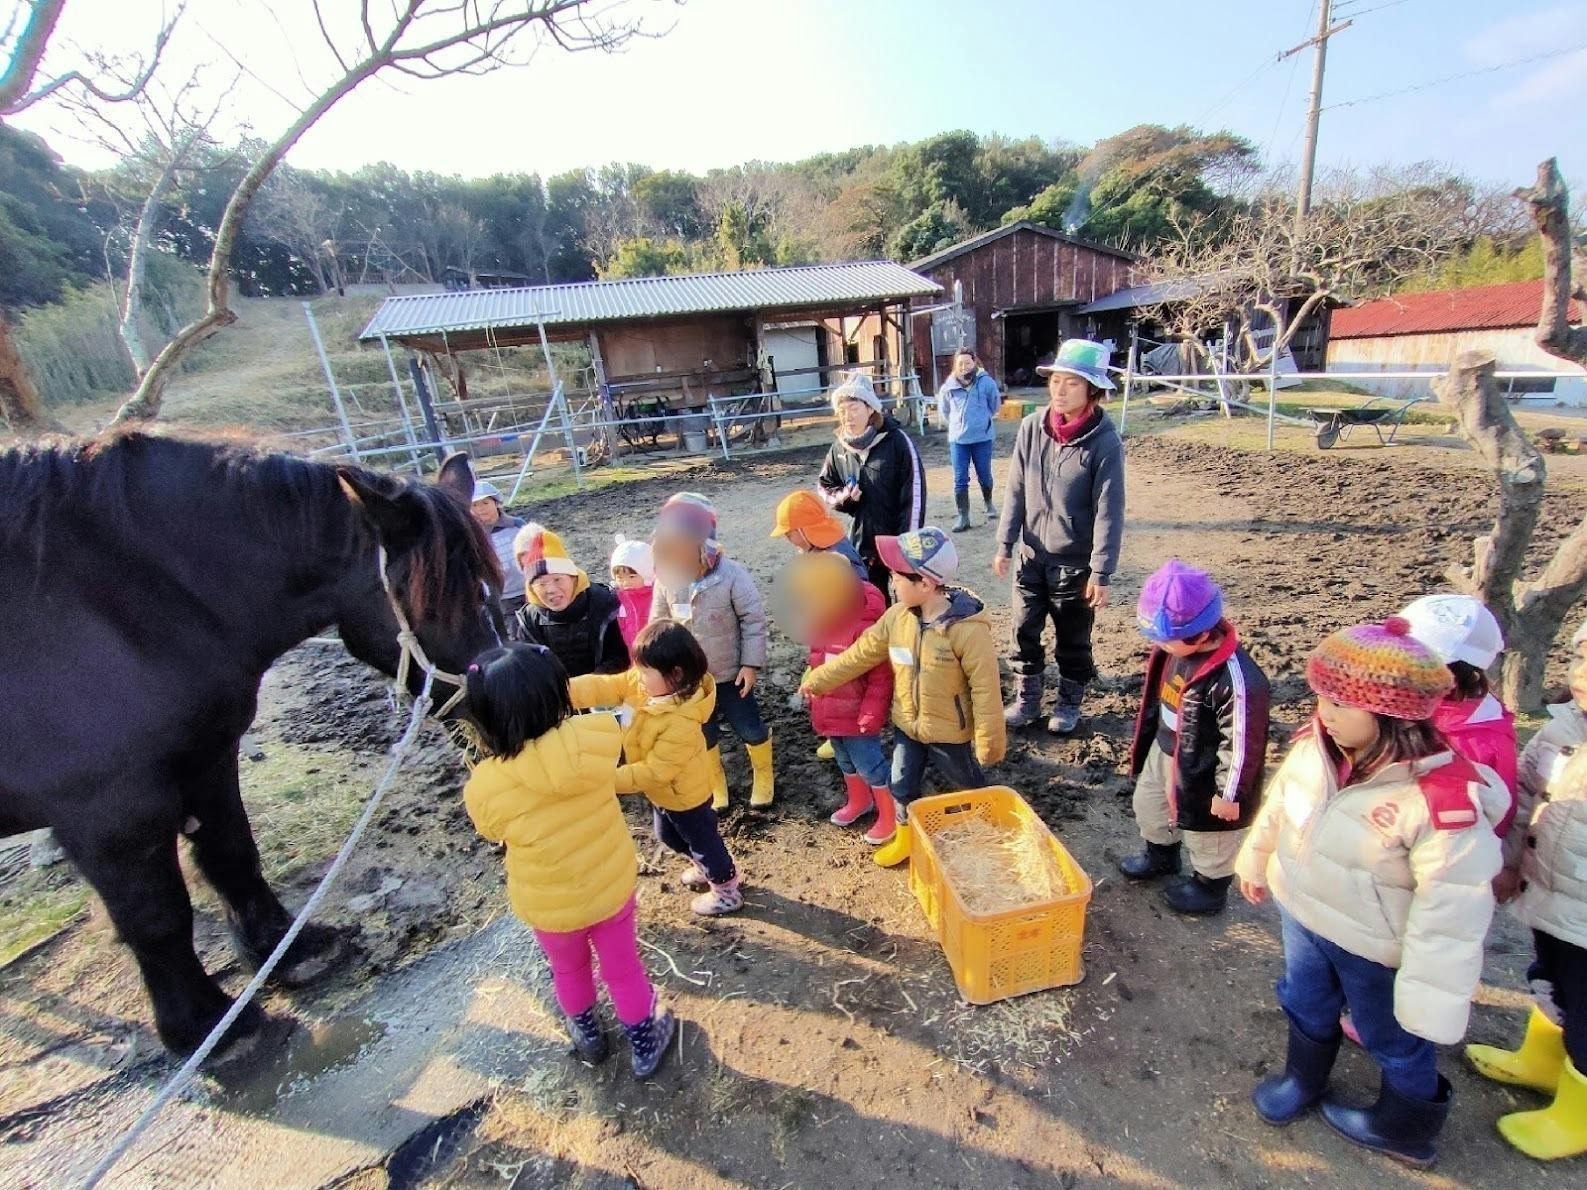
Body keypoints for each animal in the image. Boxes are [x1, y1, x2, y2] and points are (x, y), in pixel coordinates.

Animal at [0, 434, 501, 1059]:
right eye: (434, 601)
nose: (498, 701)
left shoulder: (209, 755)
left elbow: (231, 851)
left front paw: (292, 952)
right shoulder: (109, 810)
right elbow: (156, 917)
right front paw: (212, 1028)